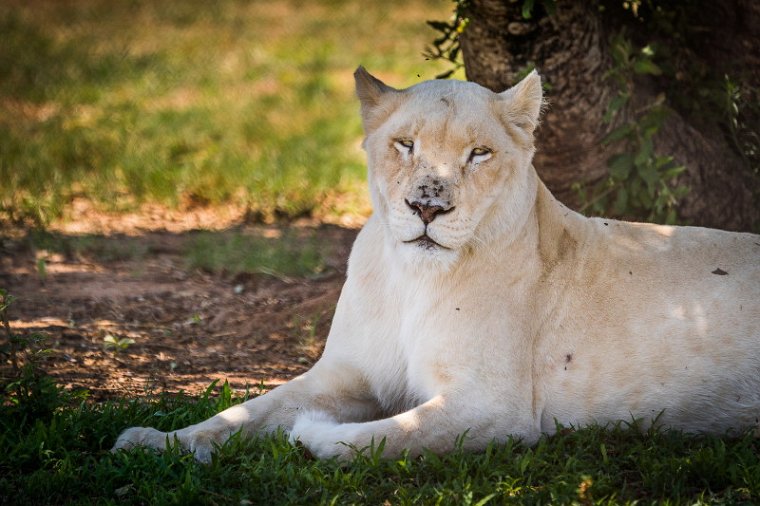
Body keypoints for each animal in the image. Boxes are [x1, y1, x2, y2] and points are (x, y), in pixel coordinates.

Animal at [113, 65, 760, 460]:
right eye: (406, 145)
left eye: (479, 153)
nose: (427, 205)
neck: (411, 281)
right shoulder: (342, 374)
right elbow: (242, 412)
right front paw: (152, 439)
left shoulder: (495, 408)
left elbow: (379, 437)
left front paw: (314, 433)